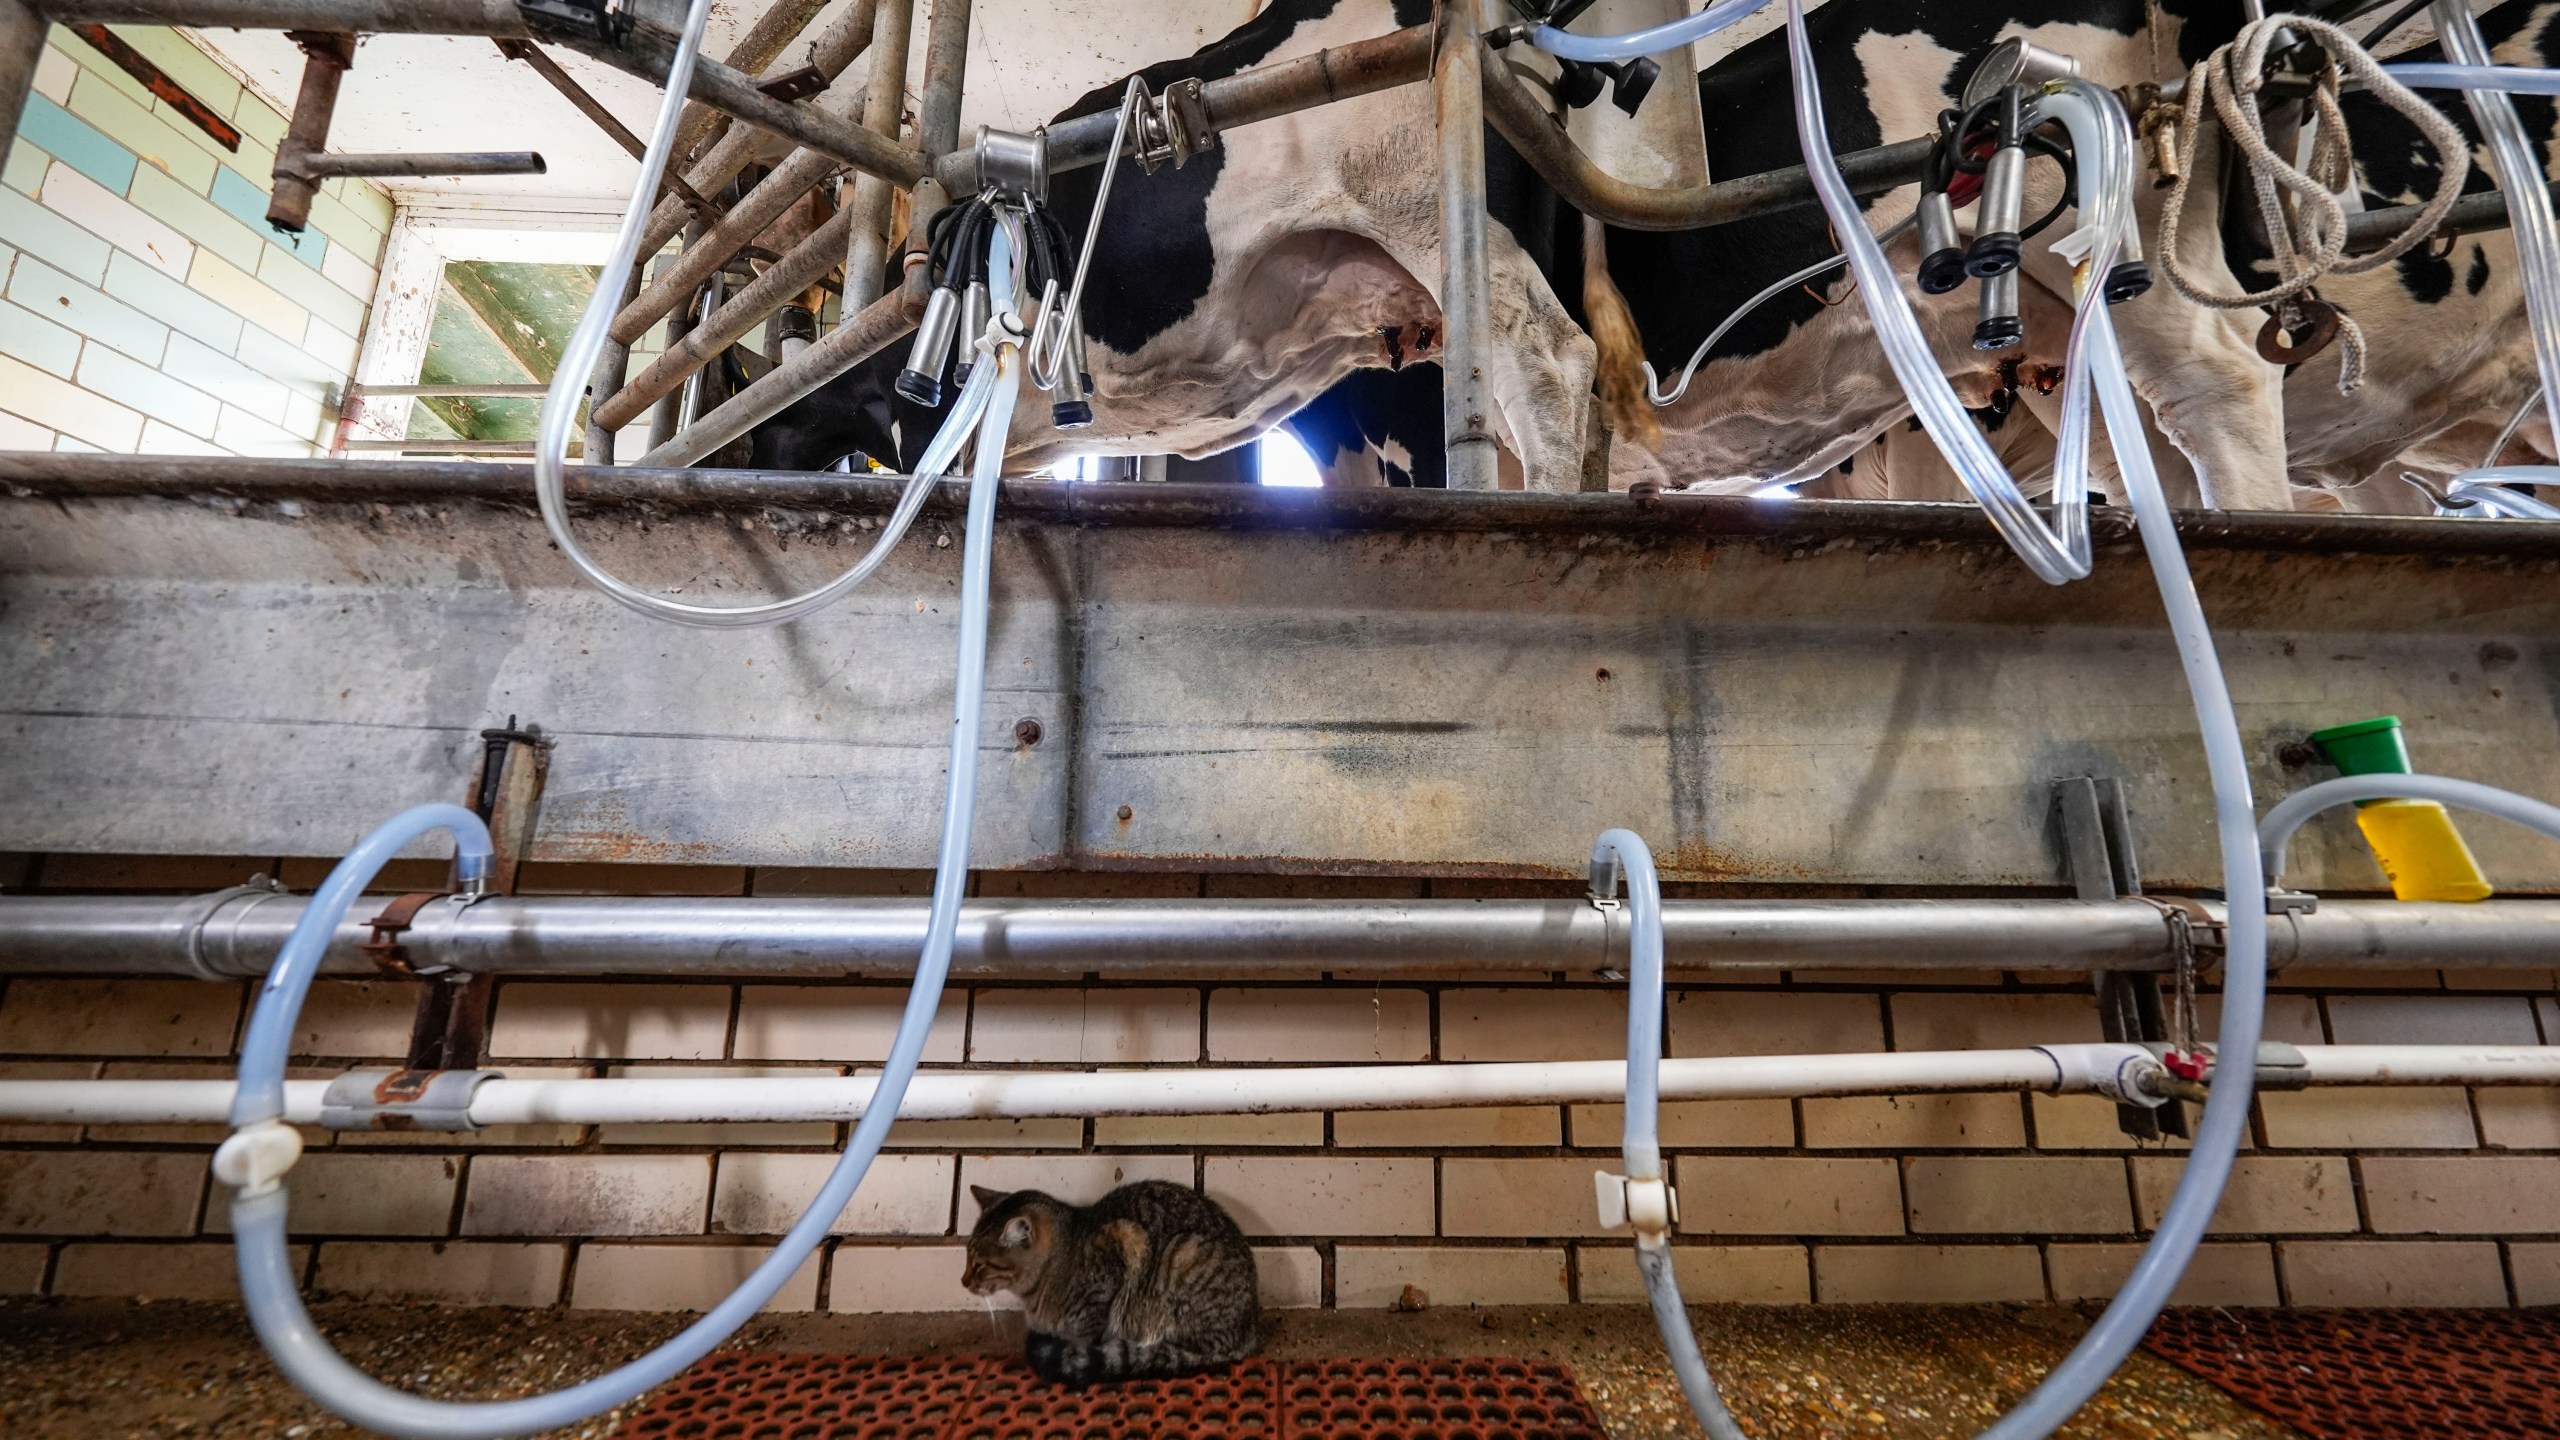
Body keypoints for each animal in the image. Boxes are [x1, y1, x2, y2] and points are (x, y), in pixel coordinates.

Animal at [962, 1178, 1259, 1383]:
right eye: (967, 1255)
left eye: (980, 1265)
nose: (964, 1281)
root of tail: (1246, 1335)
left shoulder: (1119, 1251)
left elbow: (1086, 1333)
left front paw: (1074, 1352)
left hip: (1183, 1255)